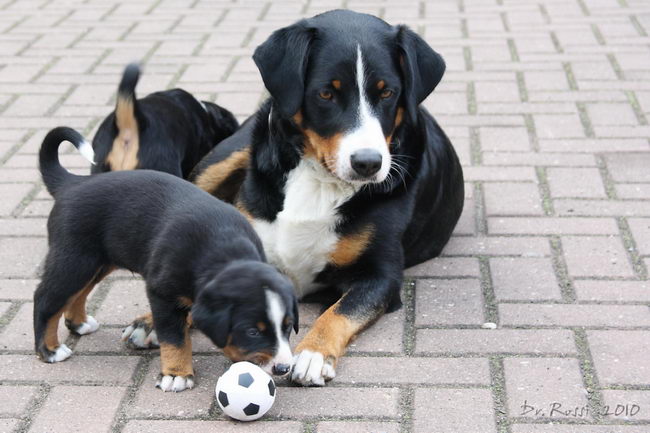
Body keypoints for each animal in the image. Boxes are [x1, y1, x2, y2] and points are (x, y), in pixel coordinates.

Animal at [30, 125, 294, 392]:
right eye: (252, 332)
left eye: (287, 327)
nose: (283, 368)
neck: (223, 247)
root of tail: (72, 183)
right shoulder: (162, 293)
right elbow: (174, 337)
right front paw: (177, 374)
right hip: (74, 259)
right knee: (46, 299)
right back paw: (50, 350)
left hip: (98, 262)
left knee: (77, 294)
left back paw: (79, 323)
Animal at [187, 7, 460, 384]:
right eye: (326, 94)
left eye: (387, 93)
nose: (368, 163)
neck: (318, 179)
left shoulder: (380, 277)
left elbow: (339, 312)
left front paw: (312, 354)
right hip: (225, 157)